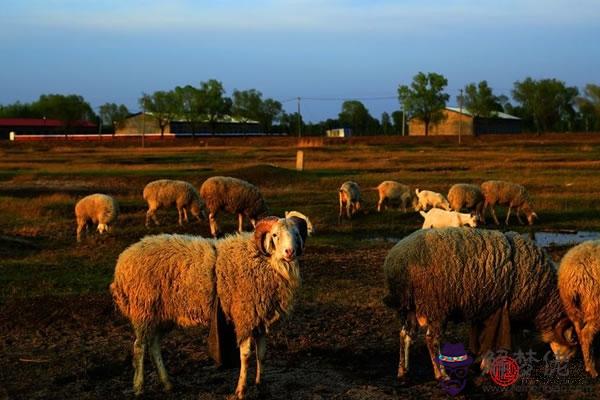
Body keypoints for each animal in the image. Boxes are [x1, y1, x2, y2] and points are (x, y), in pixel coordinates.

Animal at [110, 216, 310, 396]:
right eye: (275, 235)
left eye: (297, 234)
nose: (290, 252)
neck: (263, 259)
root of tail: (123, 260)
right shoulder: (244, 316)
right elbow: (246, 356)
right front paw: (241, 390)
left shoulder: (259, 318)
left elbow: (262, 354)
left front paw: (260, 386)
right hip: (143, 310)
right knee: (139, 346)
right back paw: (138, 387)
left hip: (161, 314)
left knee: (154, 345)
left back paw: (168, 384)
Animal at [384, 228, 576, 382]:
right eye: (573, 337)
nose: (568, 362)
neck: (543, 300)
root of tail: (397, 263)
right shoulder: (502, 313)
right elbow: (495, 342)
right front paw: (492, 367)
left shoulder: (488, 310)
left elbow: (486, 340)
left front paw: (482, 364)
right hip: (436, 306)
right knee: (432, 340)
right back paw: (442, 375)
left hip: (410, 307)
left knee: (406, 335)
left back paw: (403, 373)